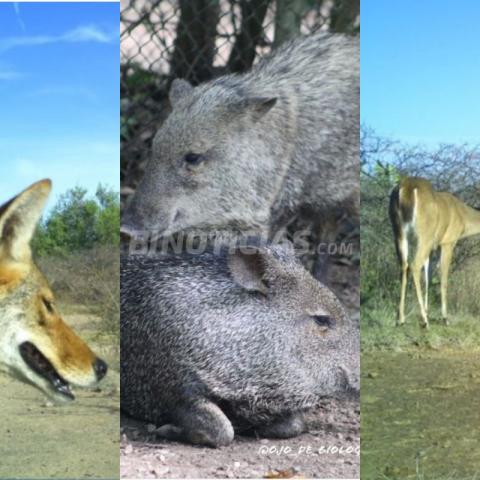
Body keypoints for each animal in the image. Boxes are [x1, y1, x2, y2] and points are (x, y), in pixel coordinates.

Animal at [388, 178, 480, 328]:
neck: (463, 216)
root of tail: (406, 190)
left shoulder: (432, 248)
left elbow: (428, 277)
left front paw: (428, 312)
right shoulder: (448, 242)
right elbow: (443, 277)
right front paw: (445, 318)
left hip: (398, 232)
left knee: (404, 266)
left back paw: (400, 319)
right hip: (424, 236)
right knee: (414, 265)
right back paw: (425, 322)